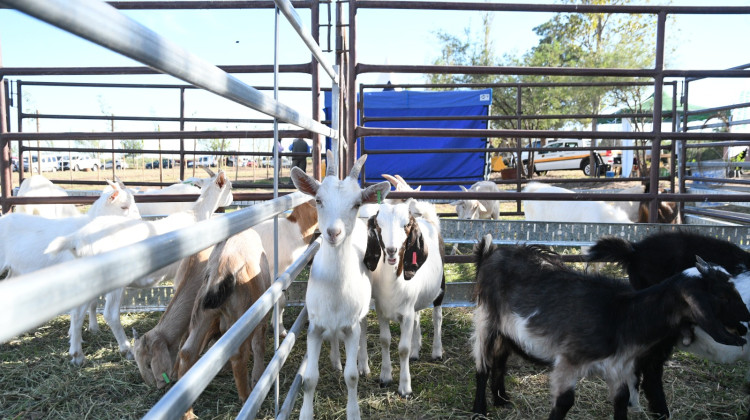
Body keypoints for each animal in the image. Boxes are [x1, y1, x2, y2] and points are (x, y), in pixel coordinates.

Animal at [46, 170, 234, 364]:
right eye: (231, 186)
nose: (232, 198)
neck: (196, 215)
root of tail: (79, 240)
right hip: (115, 280)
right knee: (110, 314)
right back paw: (125, 349)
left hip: (88, 280)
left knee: (77, 312)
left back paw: (77, 354)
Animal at [290, 151, 390, 420]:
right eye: (318, 200)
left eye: (355, 204)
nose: (333, 232)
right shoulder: (314, 326)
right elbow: (309, 379)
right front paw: (305, 414)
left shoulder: (351, 325)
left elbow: (351, 376)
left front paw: (354, 412)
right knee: (334, 337)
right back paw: (335, 360)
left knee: (364, 328)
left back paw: (364, 364)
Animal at [364, 199, 446, 398]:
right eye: (379, 224)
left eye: (406, 225)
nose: (392, 251)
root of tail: (428, 220)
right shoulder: (381, 311)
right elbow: (385, 340)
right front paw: (385, 378)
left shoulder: (406, 315)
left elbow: (403, 349)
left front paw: (405, 388)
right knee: (418, 318)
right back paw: (416, 352)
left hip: (440, 287)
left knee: (437, 317)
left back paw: (436, 352)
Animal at [472, 236, 748, 420]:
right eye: (722, 295)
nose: (746, 318)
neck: (624, 315)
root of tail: (490, 252)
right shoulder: (569, 361)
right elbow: (564, 402)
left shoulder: (619, 369)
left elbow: (622, 400)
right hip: (487, 319)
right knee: (483, 366)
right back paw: (479, 409)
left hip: (506, 329)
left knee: (500, 358)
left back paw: (501, 399)